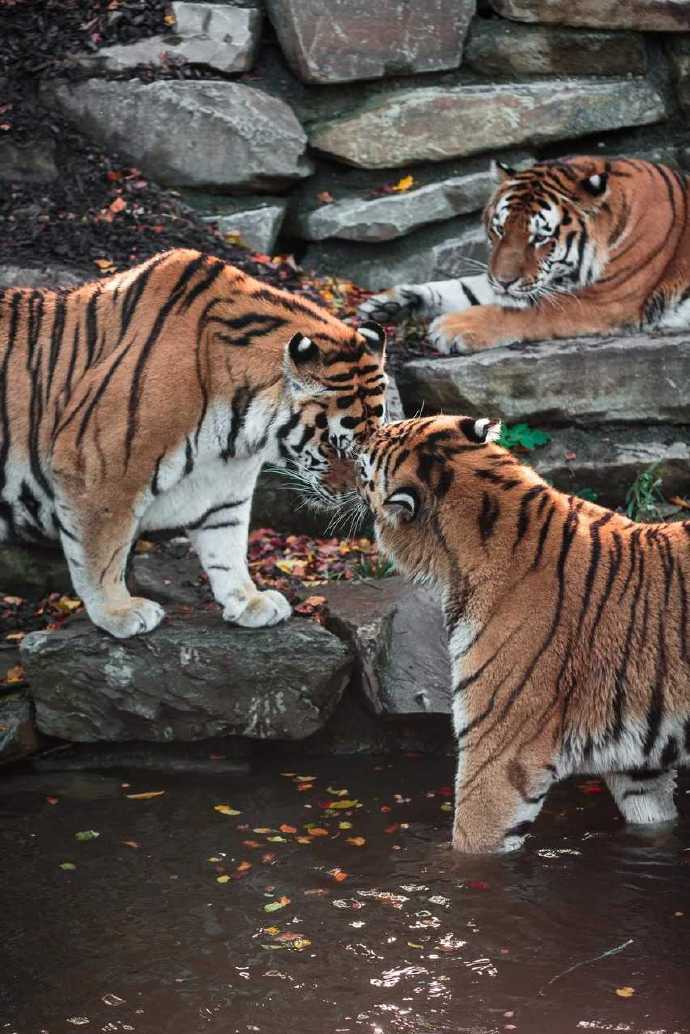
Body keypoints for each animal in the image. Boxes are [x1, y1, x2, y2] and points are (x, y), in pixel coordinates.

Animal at [0, 250, 388, 636]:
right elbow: (102, 552)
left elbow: (226, 546)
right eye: (335, 447)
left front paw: (249, 600)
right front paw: (118, 611)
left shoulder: (224, 485)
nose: (356, 501)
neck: (239, 430)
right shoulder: (97, 470)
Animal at [360, 157, 690, 355]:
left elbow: (524, 312)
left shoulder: (602, 302)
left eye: (540, 238)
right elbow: (460, 288)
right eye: (499, 229)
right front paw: (387, 305)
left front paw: (452, 328)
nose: (504, 281)